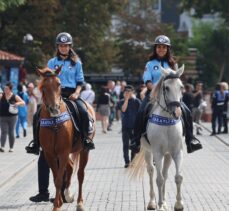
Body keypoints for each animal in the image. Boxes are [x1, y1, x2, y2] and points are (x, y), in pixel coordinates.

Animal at [37, 66, 95, 211]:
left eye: (59, 84)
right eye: (43, 87)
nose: (54, 109)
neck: (54, 122)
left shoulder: (63, 152)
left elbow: (59, 179)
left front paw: (57, 205)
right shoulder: (50, 154)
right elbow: (55, 177)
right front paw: (58, 202)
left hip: (84, 150)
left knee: (80, 174)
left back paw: (79, 202)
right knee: (70, 167)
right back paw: (67, 195)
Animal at [130, 65, 185, 210]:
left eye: (181, 87)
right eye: (166, 87)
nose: (177, 112)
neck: (167, 121)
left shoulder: (176, 152)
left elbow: (178, 177)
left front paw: (178, 204)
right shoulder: (157, 152)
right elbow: (158, 179)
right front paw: (159, 205)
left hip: (167, 155)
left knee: (165, 174)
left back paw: (164, 202)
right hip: (148, 151)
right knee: (151, 171)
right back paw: (152, 202)